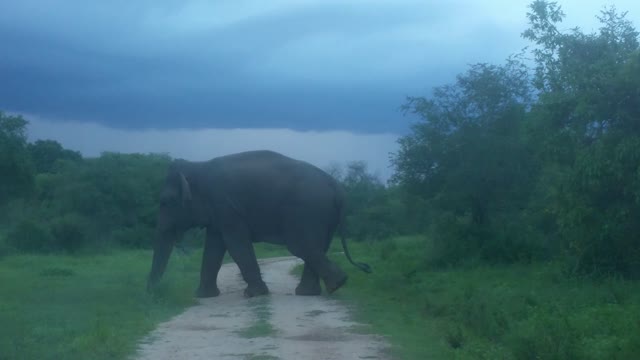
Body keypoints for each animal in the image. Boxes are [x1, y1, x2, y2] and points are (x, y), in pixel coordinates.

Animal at [146, 149, 372, 298]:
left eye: (165, 202)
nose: (152, 294)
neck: (198, 165)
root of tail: (338, 187)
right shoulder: (220, 211)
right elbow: (214, 247)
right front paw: (203, 296)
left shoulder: (227, 206)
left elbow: (235, 244)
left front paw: (254, 295)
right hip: (324, 215)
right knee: (317, 246)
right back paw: (312, 292)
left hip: (308, 211)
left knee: (301, 246)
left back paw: (335, 285)